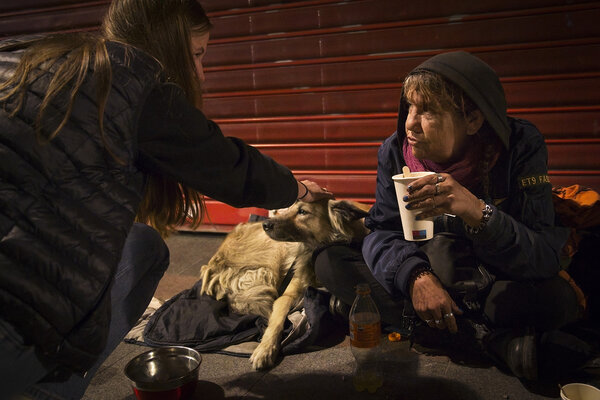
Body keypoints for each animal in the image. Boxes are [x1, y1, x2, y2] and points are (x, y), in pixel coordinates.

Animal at [200, 198, 370, 370]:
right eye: (288, 208)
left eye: (302, 212)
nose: (266, 224)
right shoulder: (286, 294)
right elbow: (276, 320)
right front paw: (265, 349)